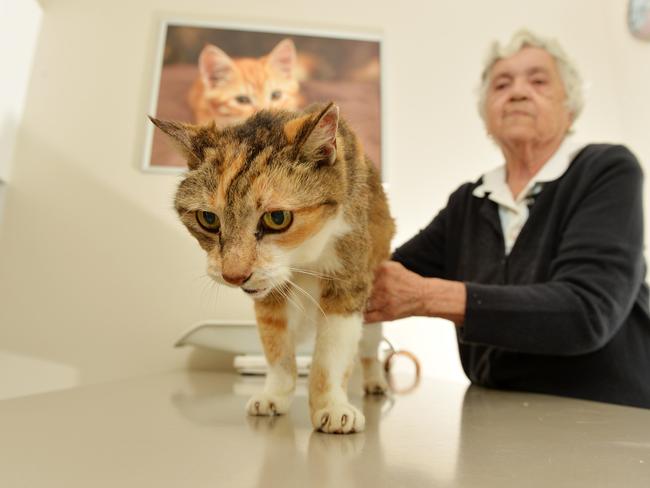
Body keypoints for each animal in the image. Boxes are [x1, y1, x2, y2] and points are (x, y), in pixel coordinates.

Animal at [151, 103, 392, 434]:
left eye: (277, 218)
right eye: (208, 219)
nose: (234, 275)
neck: (303, 260)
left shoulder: (347, 281)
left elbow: (330, 357)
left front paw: (332, 407)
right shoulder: (270, 298)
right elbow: (277, 350)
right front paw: (274, 397)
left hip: (371, 318)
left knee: (369, 351)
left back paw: (375, 382)